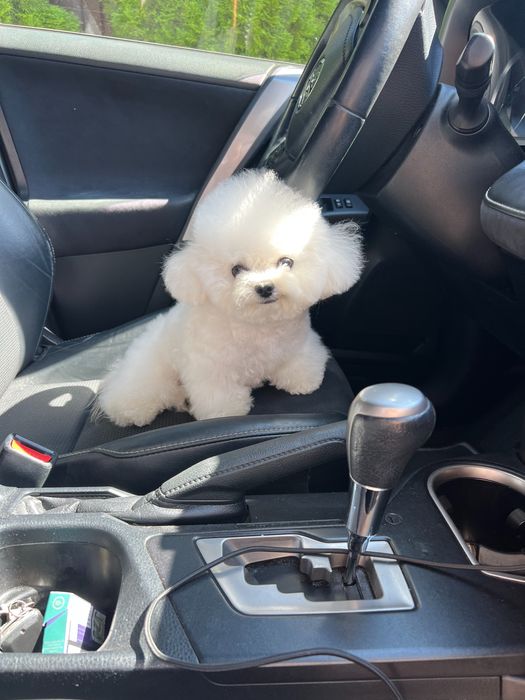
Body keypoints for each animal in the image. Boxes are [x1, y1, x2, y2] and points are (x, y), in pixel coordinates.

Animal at [97, 169, 364, 425]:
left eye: (286, 262)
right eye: (236, 269)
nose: (265, 287)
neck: (259, 326)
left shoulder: (299, 347)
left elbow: (299, 365)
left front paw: (302, 382)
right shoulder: (211, 370)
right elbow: (218, 395)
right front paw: (226, 412)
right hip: (150, 368)